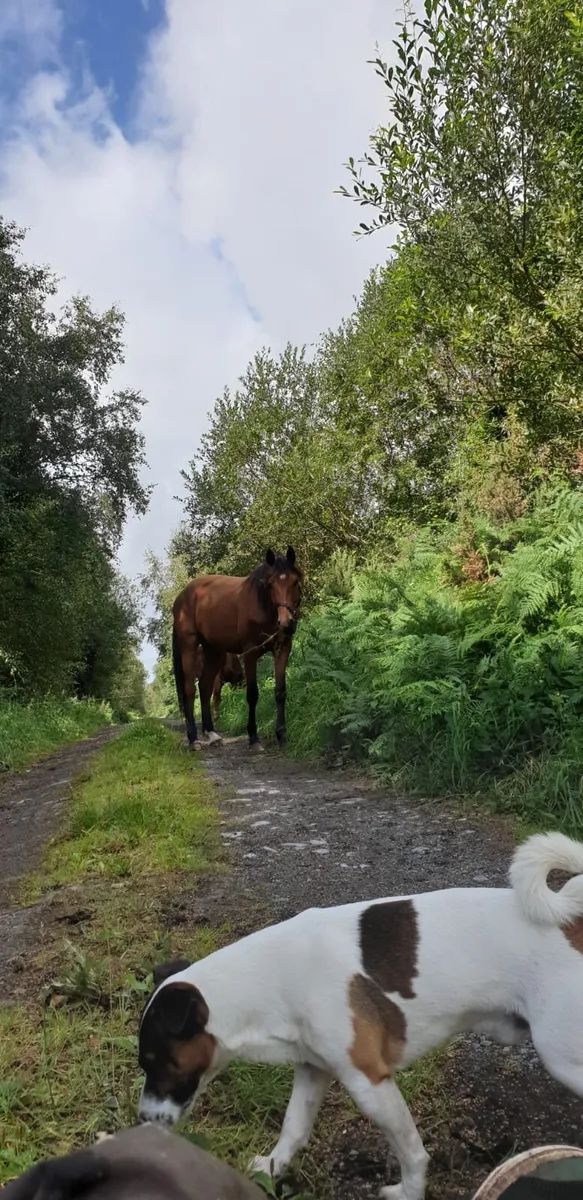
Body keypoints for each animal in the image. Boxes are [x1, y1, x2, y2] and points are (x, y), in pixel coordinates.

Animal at [172, 547, 302, 751]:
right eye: (271, 584)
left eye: (295, 582)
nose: (286, 622)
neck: (261, 605)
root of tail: (180, 598)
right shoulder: (250, 653)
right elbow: (252, 694)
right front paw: (254, 738)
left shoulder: (282, 648)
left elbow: (280, 691)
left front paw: (282, 735)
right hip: (189, 646)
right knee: (189, 691)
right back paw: (193, 739)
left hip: (213, 651)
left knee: (205, 687)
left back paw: (212, 734)